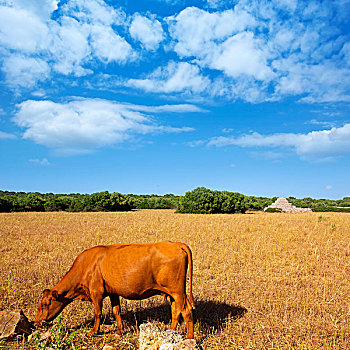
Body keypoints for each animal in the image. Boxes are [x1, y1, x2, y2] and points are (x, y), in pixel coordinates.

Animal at [34, 242, 196, 338]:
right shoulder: (113, 292)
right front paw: (118, 331)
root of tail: (175, 244)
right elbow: (116, 311)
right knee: (176, 310)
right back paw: (171, 331)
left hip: (177, 291)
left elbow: (98, 313)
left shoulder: (96, 292)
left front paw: (94, 331)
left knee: (186, 310)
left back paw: (189, 338)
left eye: (45, 304)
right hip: (173, 293)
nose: (36, 322)